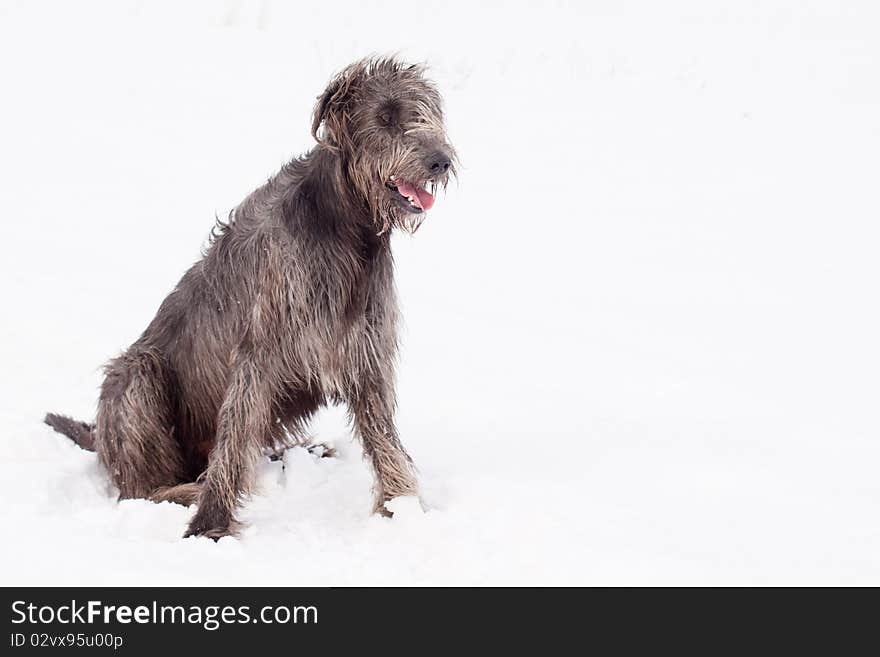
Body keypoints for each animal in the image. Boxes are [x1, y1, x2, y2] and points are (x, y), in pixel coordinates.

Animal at [44, 56, 458, 540]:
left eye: (427, 113)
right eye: (387, 116)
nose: (441, 160)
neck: (343, 225)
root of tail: (100, 440)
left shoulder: (363, 343)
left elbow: (383, 435)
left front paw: (401, 506)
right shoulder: (259, 350)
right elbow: (236, 431)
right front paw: (209, 524)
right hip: (136, 374)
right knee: (139, 488)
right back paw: (187, 490)